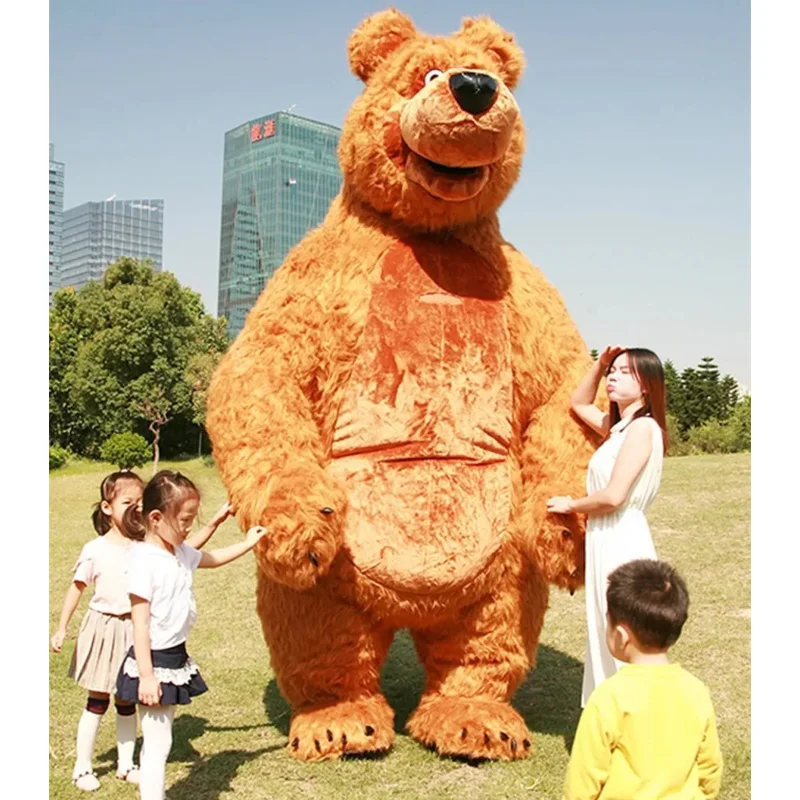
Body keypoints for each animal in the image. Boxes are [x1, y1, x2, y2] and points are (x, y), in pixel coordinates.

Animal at [206, 8, 600, 762]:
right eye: (426, 74)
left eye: (497, 76)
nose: (476, 88)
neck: (431, 233)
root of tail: (412, 607)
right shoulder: (312, 281)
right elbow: (259, 377)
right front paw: (297, 519)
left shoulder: (526, 295)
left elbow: (566, 392)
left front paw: (568, 529)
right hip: (337, 583)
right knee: (321, 634)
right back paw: (338, 720)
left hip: (497, 568)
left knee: (488, 638)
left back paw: (475, 720)